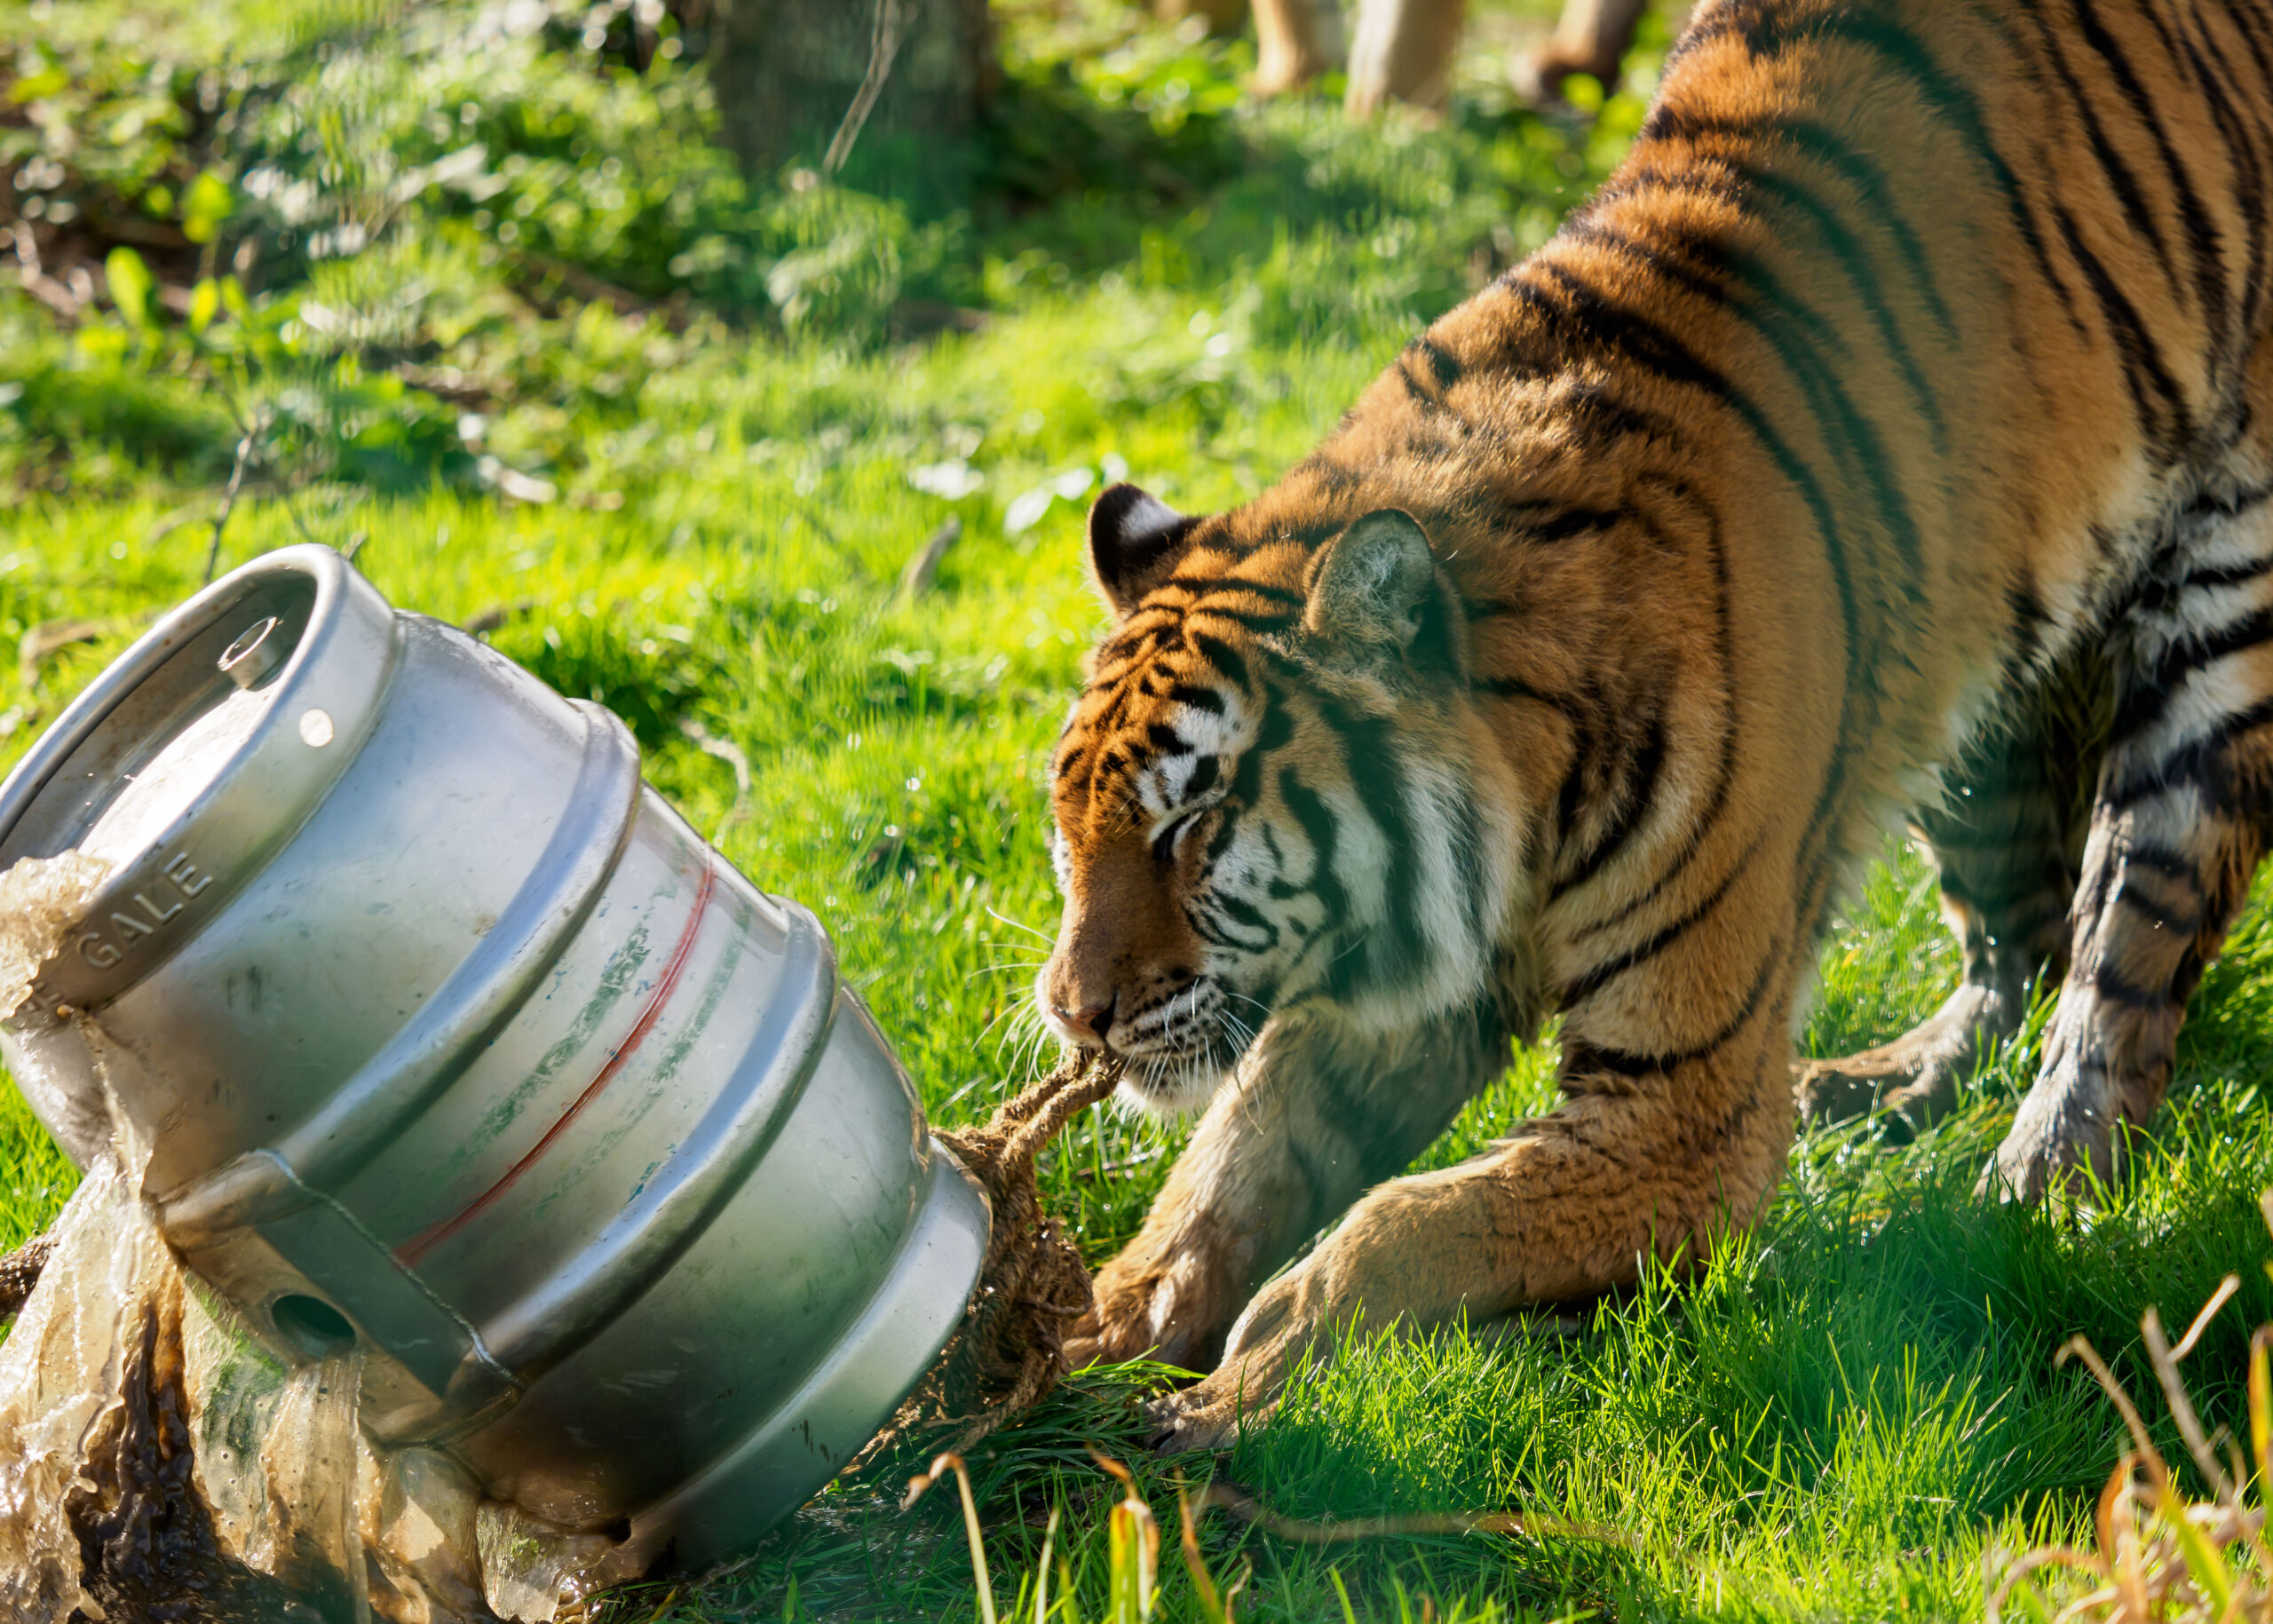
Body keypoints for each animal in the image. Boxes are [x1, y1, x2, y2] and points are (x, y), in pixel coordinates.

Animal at [1037, 0, 2273, 1450]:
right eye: (1069, 827)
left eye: (1195, 821)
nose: (1074, 1019)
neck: (1518, 801)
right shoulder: (1403, 974)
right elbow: (1237, 1155)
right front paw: (1089, 1325)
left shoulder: (1679, 1106)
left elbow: (1393, 1230)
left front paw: (1217, 1399)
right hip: (1981, 671)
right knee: (2013, 935)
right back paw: (1889, 1087)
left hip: (2220, 608)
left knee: (2124, 943)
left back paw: (2041, 1183)